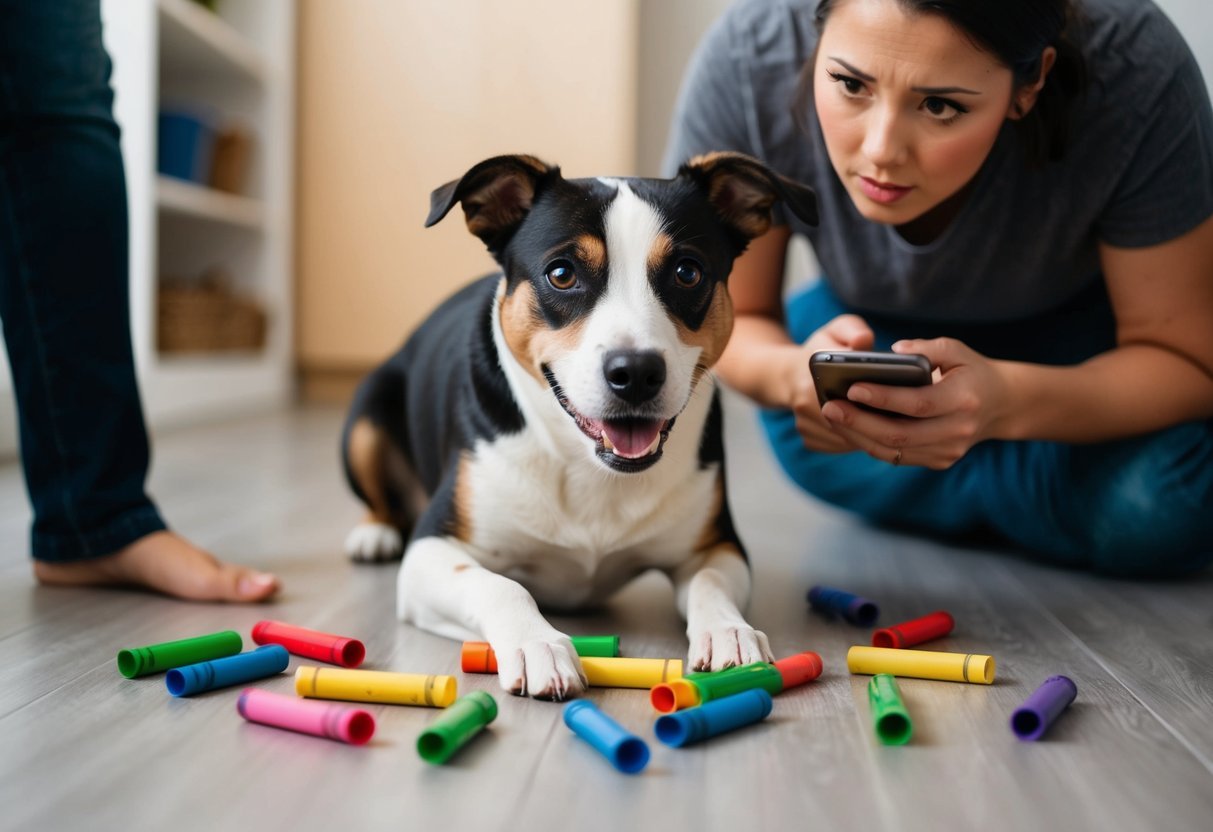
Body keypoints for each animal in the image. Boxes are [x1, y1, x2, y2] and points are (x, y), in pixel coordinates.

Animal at [337, 153, 819, 698]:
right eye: (563, 274)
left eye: (688, 272)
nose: (636, 372)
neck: (588, 462)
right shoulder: (431, 552)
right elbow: (502, 586)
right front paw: (537, 644)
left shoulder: (717, 546)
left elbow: (710, 583)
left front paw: (729, 632)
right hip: (367, 414)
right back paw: (374, 532)